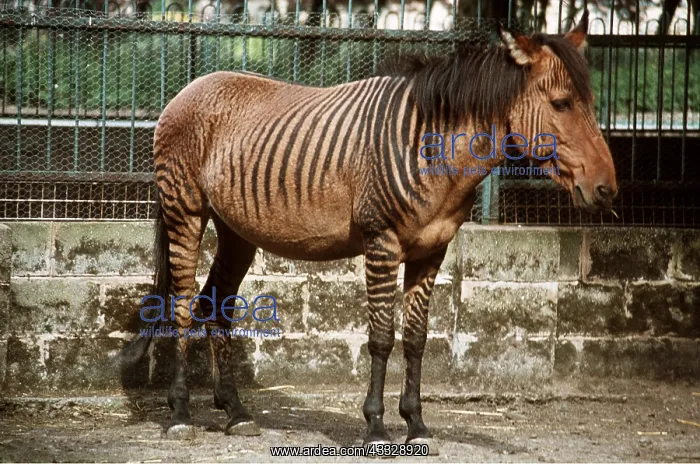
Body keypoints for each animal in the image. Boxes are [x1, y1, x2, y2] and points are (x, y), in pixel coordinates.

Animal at [128, 9, 617, 452]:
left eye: (592, 103)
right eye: (561, 103)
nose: (608, 190)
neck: (434, 149)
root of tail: (190, 86)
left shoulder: (432, 250)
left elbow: (417, 339)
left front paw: (417, 424)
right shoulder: (381, 243)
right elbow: (381, 338)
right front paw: (377, 426)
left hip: (236, 230)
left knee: (215, 306)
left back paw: (236, 412)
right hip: (185, 210)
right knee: (183, 307)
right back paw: (180, 414)